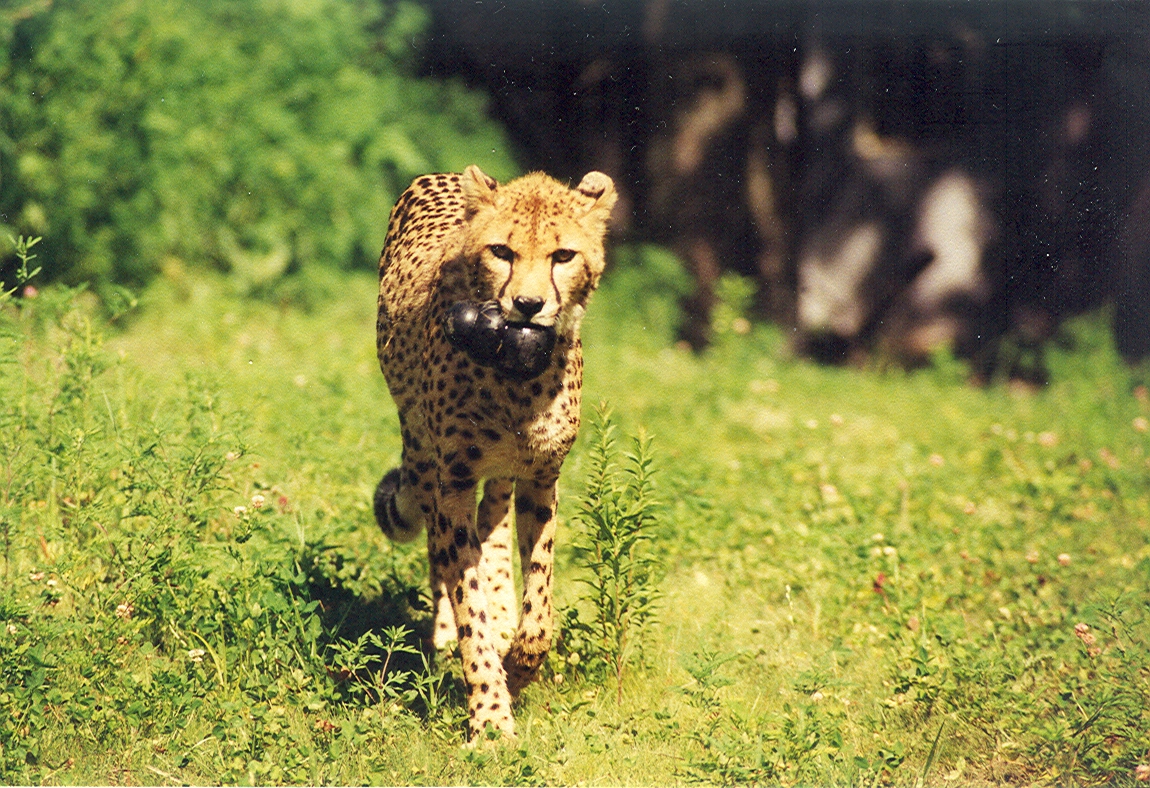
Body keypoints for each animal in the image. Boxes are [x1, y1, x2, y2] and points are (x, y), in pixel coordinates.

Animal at [373, 165, 616, 741]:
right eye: (502, 251)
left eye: (563, 255)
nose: (528, 305)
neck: (515, 373)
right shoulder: (453, 481)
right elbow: (468, 602)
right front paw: (489, 717)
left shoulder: (541, 478)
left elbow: (541, 602)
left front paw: (520, 661)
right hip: (422, 455)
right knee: (444, 548)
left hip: (499, 473)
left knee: (496, 518)